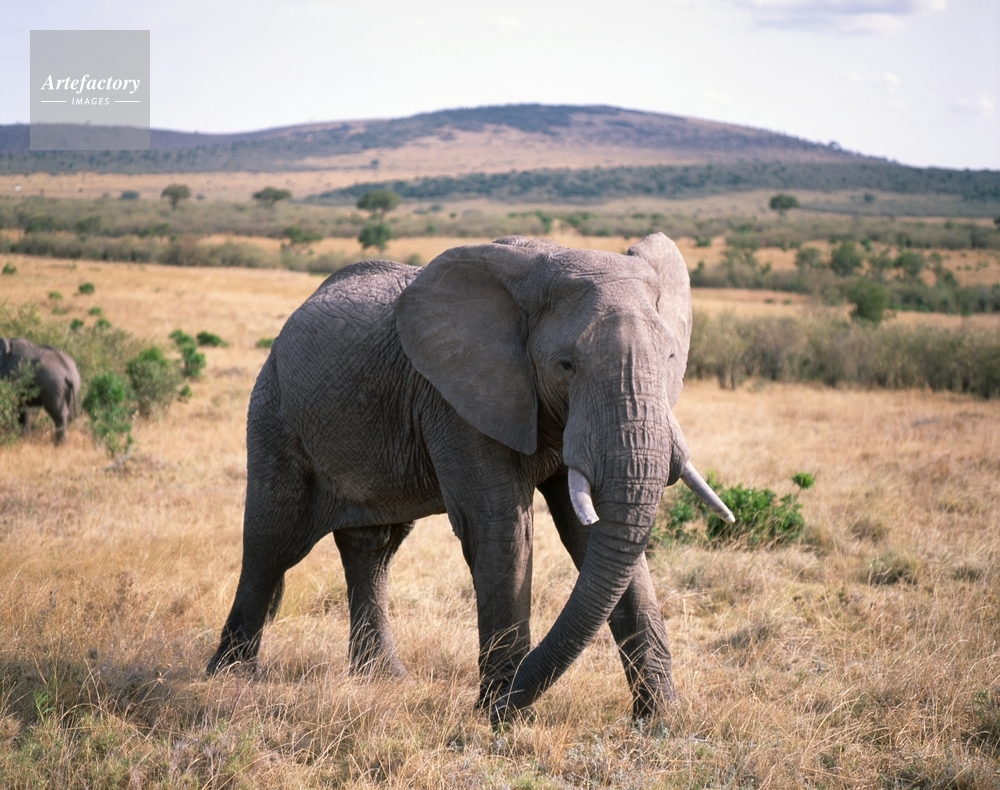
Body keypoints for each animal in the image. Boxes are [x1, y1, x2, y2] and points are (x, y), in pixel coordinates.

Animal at [207, 232, 733, 725]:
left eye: (670, 359)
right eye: (566, 365)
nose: (500, 702)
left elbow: (596, 533)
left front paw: (662, 720)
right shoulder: (456, 400)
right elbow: (501, 528)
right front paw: (502, 720)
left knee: (372, 547)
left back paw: (384, 680)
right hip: (274, 410)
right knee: (272, 542)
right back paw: (229, 680)